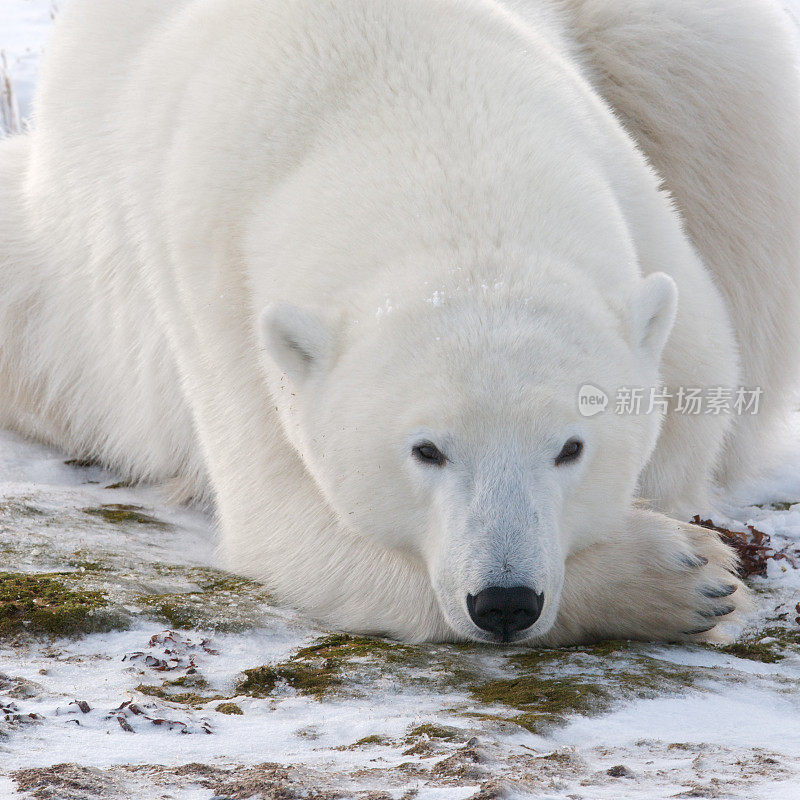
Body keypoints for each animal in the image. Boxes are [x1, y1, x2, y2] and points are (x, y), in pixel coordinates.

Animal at [1, 0, 800, 636]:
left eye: (571, 446)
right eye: (427, 450)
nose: (504, 601)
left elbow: (696, 403)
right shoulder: (216, 291)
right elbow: (295, 527)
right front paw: (682, 572)